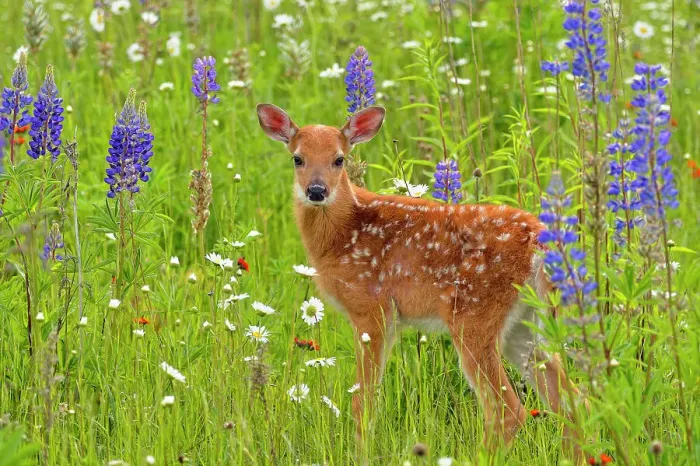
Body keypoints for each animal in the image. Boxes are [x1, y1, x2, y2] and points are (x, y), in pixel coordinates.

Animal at [256, 103, 584, 459]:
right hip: (525, 324)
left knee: (508, 409)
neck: (343, 235)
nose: (316, 191)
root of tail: (540, 239)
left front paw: (361, 453)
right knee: (571, 399)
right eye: (297, 158)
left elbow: (363, 401)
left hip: (475, 317)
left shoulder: (371, 308)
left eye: (339, 159)